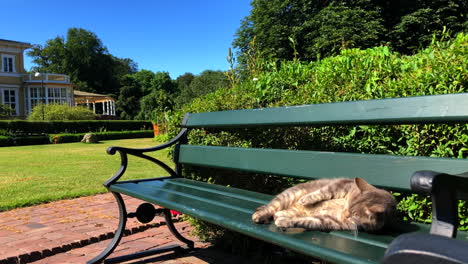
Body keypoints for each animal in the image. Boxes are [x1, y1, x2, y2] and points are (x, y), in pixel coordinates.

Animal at [250, 177, 396, 231]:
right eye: (347, 206)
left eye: (353, 215)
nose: (344, 215)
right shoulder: (342, 184)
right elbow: (324, 192)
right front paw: (307, 199)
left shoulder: (330, 222)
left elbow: (305, 221)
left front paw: (285, 222)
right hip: (287, 196)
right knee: (270, 207)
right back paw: (259, 216)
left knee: (278, 213)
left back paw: (278, 216)